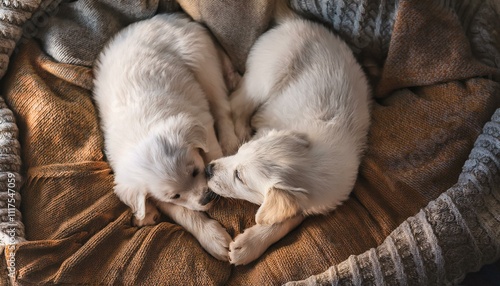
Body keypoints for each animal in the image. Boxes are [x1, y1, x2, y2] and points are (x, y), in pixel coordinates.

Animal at [93, 13, 238, 262]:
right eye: (176, 195)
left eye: (195, 171)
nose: (206, 198)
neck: (143, 131)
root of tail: (163, 18)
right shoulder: (157, 196)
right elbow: (183, 212)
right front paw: (212, 238)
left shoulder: (202, 120)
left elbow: (212, 149)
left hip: (201, 60)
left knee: (222, 106)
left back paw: (230, 141)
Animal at [204, 16, 372, 264]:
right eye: (241, 152)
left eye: (240, 177)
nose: (208, 169)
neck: (316, 161)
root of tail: (293, 23)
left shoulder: (322, 198)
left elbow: (286, 219)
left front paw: (249, 244)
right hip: (267, 74)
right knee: (236, 102)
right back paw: (241, 128)